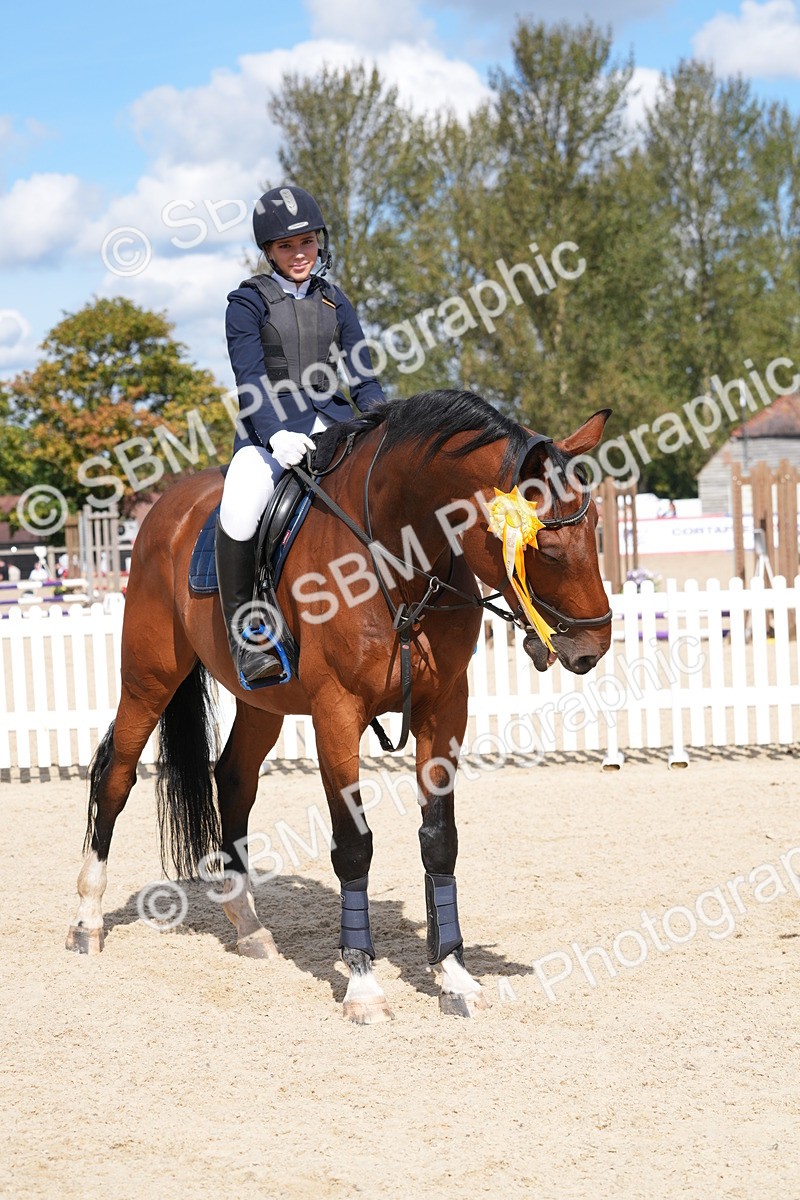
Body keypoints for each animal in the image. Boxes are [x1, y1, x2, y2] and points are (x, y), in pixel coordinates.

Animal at [66, 389, 612, 1023]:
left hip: (263, 702)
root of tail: (166, 507)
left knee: (234, 779)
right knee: (116, 775)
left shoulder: (445, 708)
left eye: (595, 525)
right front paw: (363, 985)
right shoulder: (337, 712)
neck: (399, 560)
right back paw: (87, 920)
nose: (594, 646)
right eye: (541, 547)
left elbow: (439, 838)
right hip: (148, 678)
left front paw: (452, 972)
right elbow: (354, 845)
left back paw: (248, 925)